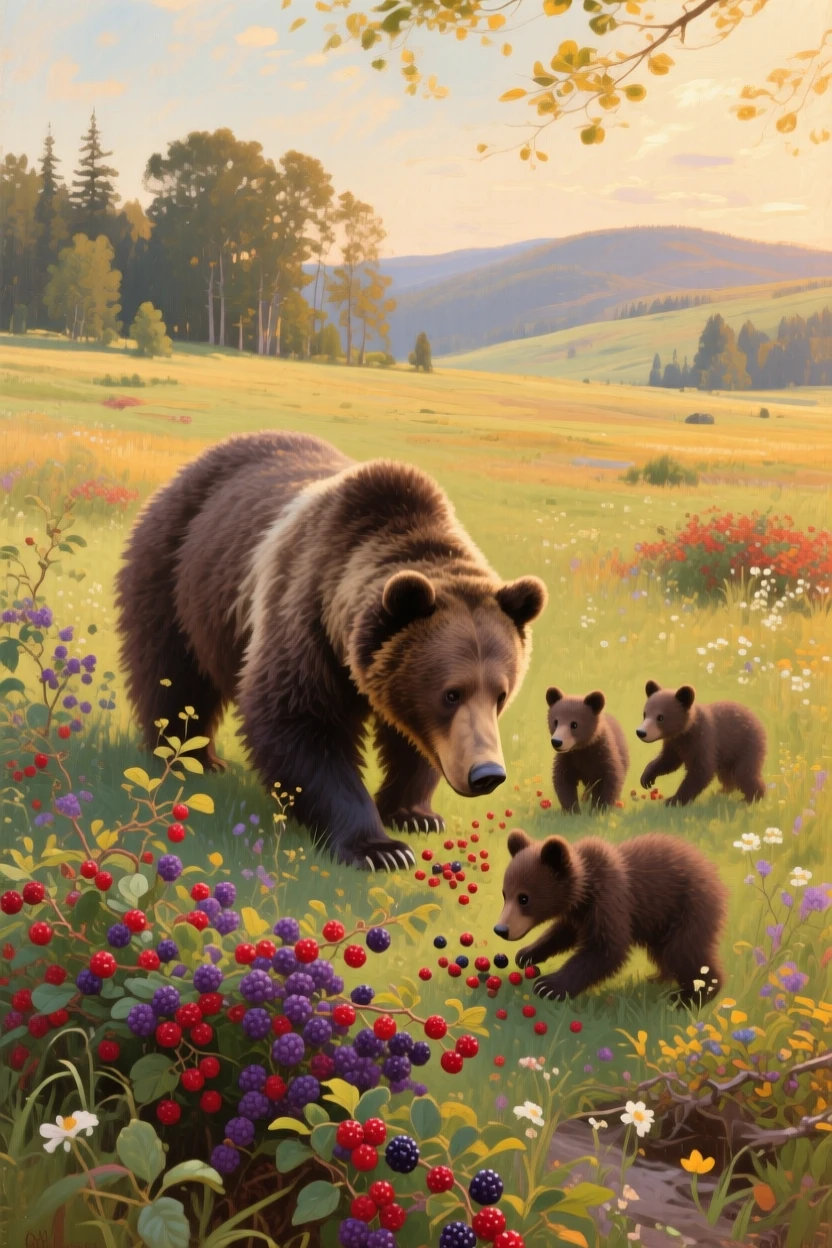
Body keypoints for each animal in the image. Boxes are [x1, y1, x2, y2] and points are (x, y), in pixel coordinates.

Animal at [115, 431, 547, 872]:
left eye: (500, 694)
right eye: (451, 693)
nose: (487, 773)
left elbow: (413, 742)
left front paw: (415, 815)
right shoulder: (306, 618)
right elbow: (301, 725)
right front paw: (379, 849)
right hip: (178, 573)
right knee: (173, 674)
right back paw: (190, 758)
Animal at [494, 828, 727, 1003]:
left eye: (524, 898)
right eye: (505, 894)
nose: (501, 929)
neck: (585, 888)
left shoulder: (610, 899)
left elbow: (606, 948)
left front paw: (549, 985)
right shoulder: (580, 912)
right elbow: (563, 933)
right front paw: (527, 953)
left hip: (689, 908)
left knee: (684, 951)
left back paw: (689, 996)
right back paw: (659, 978)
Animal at [637, 681, 766, 807]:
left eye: (660, 717)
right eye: (645, 714)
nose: (641, 732)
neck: (686, 730)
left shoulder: (703, 739)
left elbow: (701, 770)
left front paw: (673, 800)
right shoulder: (674, 743)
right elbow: (668, 760)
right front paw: (647, 778)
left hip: (747, 745)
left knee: (744, 773)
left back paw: (751, 798)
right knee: (726, 774)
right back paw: (723, 791)